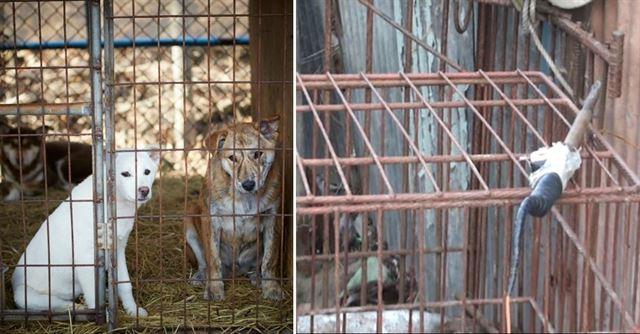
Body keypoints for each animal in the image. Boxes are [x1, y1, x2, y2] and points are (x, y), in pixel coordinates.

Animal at [12, 149, 160, 316]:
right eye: (125, 174)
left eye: (147, 172)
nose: (144, 190)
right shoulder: (86, 258)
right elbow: (93, 295)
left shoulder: (118, 249)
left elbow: (125, 284)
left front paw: (133, 310)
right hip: (23, 296)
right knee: (59, 304)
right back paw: (79, 308)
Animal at [185, 115, 284, 300]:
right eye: (232, 158)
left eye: (257, 154)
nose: (248, 184)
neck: (244, 198)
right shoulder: (211, 219)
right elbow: (213, 258)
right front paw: (214, 289)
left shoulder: (273, 218)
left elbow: (269, 258)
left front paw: (271, 288)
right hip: (189, 220)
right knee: (204, 262)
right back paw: (201, 277)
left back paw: (257, 276)